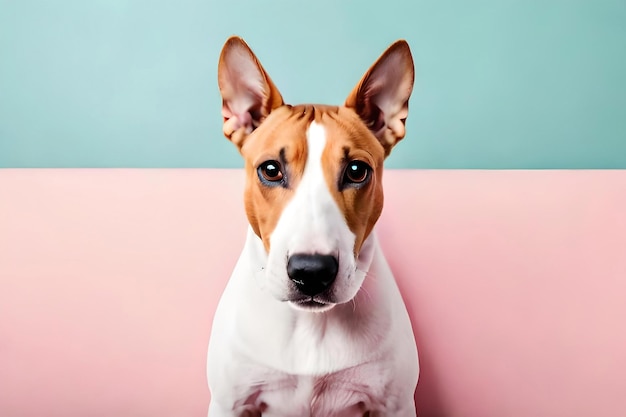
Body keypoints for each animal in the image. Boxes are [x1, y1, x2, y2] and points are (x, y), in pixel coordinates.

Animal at [207, 36, 416, 416]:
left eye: (356, 171)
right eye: (271, 170)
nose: (312, 272)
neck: (311, 325)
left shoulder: (395, 406)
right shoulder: (229, 403)